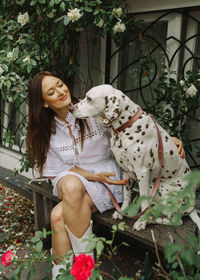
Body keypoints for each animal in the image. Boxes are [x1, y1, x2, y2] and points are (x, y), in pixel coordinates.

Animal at [72, 84, 200, 231]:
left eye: (89, 98)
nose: (71, 108)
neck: (127, 126)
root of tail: (192, 206)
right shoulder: (125, 170)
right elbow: (126, 195)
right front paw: (121, 212)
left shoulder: (142, 172)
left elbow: (144, 200)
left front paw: (141, 221)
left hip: (157, 187)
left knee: (175, 220)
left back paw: (151, 219)